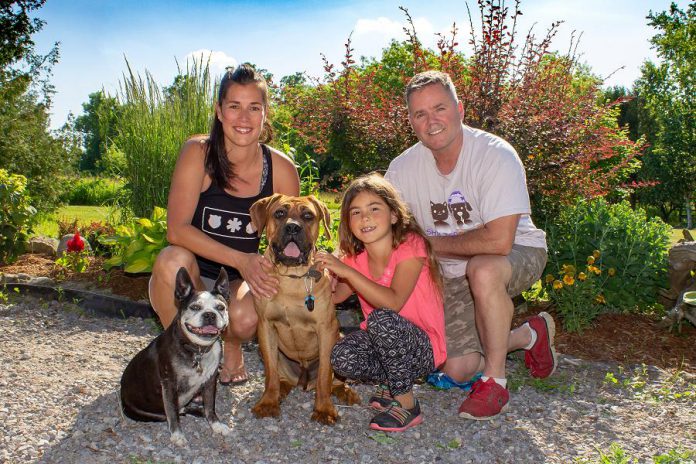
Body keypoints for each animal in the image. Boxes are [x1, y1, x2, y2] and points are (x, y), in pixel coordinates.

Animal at [121, 268, 232, 446]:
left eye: (220, 307)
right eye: (195, 307)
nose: (209, 315)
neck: (197, 349)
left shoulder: (210, 382)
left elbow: (210, 405)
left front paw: (216, 425)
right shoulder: (170, 385)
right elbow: (172, 412)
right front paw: (177, 435)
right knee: (175, 411)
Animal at [249, 194, 358, 426]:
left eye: (308, 216)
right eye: (279, 213)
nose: (292, 227)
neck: (291, 278)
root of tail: (303, 382)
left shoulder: (326, 329)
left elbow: (325, 375)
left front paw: (324, 409)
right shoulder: (265, 327)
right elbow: (270, 373)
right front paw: (268, 402)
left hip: (339, 337)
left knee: (332, 381)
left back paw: (345, 391)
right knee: (279, 377)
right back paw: (280, 391)